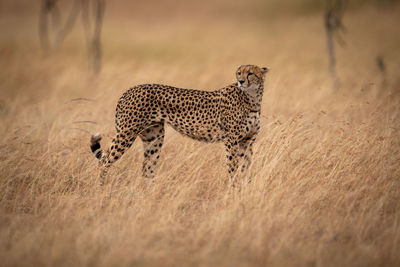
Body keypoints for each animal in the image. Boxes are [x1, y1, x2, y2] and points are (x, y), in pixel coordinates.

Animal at [90, 65, 270, 181]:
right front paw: (234, 190)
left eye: (250, 73)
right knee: (103, 161)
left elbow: (245, 166)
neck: (252, 99)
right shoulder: (231, 140)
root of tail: (129, 90)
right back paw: (102, 190)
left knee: (147, 169)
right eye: (239, 73)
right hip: (126, 134)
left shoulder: (248, 140)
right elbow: (233, 167)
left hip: (153, 139)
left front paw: (244, 187)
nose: (241, 81)